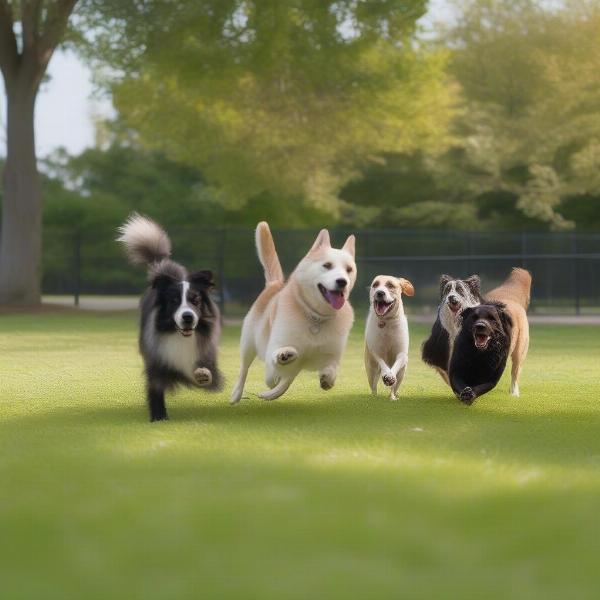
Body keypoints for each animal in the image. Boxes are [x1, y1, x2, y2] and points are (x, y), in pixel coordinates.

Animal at [117, 213, 223, 420]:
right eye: (174, 301)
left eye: (195, 300)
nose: (188, 317)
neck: (178, 335)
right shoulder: (155, 360)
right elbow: (156, 387)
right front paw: (158, 417)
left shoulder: (206, 354)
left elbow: (207, 373)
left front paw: (203, 374)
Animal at [230, 223, 356, 406]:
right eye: (327, 265)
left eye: (349, 270)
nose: (342, 282)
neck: (315, 317)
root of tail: (274, 284)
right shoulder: (274, 349)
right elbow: (277, 362)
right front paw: (284, 356)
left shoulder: (330, 356)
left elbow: (332, 370)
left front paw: (327, 379)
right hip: (248, 344)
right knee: (245, 369)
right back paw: (237, 394)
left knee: (285, 381)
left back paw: (269, 394)